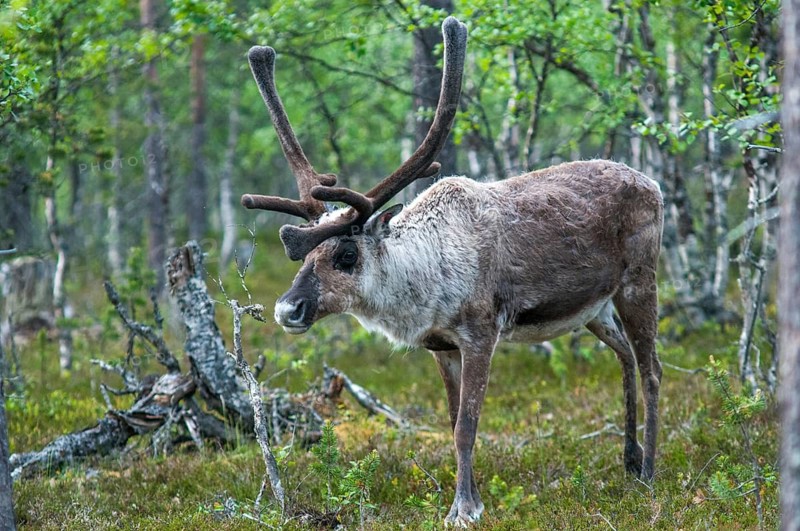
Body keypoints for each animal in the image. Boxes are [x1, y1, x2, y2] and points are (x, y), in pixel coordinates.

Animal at [241, 17, 663, 526]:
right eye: (304, 256)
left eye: (346, 254)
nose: (287, 309)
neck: (423, 278)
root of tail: (652, 182)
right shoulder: (441, 348)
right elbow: (451, 419)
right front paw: (473, 495)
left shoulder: (481, 334)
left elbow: (467, 425)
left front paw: (463, 508)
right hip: (594, 310)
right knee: (624, 356)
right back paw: (630, 459)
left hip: (639, 282)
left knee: (653, 369)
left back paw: (650, 471)